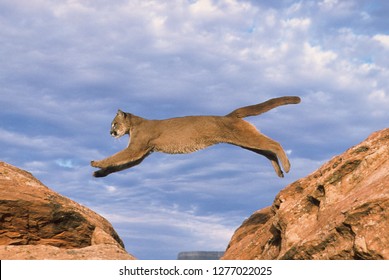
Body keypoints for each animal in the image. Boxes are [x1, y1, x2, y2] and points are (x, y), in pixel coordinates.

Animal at [91, 96, 300, 178]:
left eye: (114, 124)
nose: (110, 133)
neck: (135, 125)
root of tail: (229, 115)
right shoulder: (141, 153)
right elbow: (120, 164)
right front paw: (99, 173)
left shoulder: (136, 148)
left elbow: (116, 157)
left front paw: (96, 163)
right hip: (245, 142)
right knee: (268, 151)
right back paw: (280, 171)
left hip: (245, 138)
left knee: (275, 143)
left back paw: (288, 166)